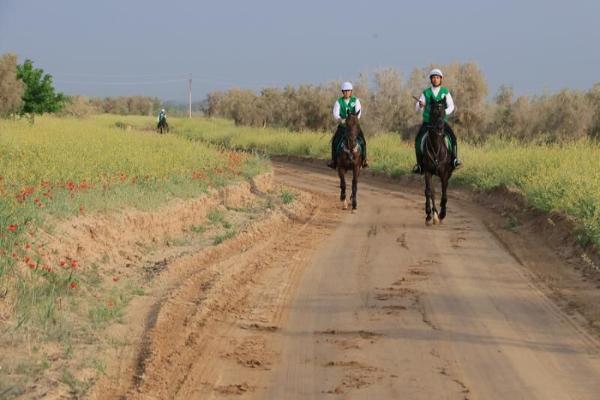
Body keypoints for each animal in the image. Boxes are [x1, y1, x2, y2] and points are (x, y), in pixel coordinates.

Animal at [422, 97, 454, 225]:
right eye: (434, 112)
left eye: (444, 112)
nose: (440, 128)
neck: (436, 147)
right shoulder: (427, 172)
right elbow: (430, 192)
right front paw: (431, 215)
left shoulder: (444, 173)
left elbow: (444, 193)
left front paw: (442, 214)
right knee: (430, 191)